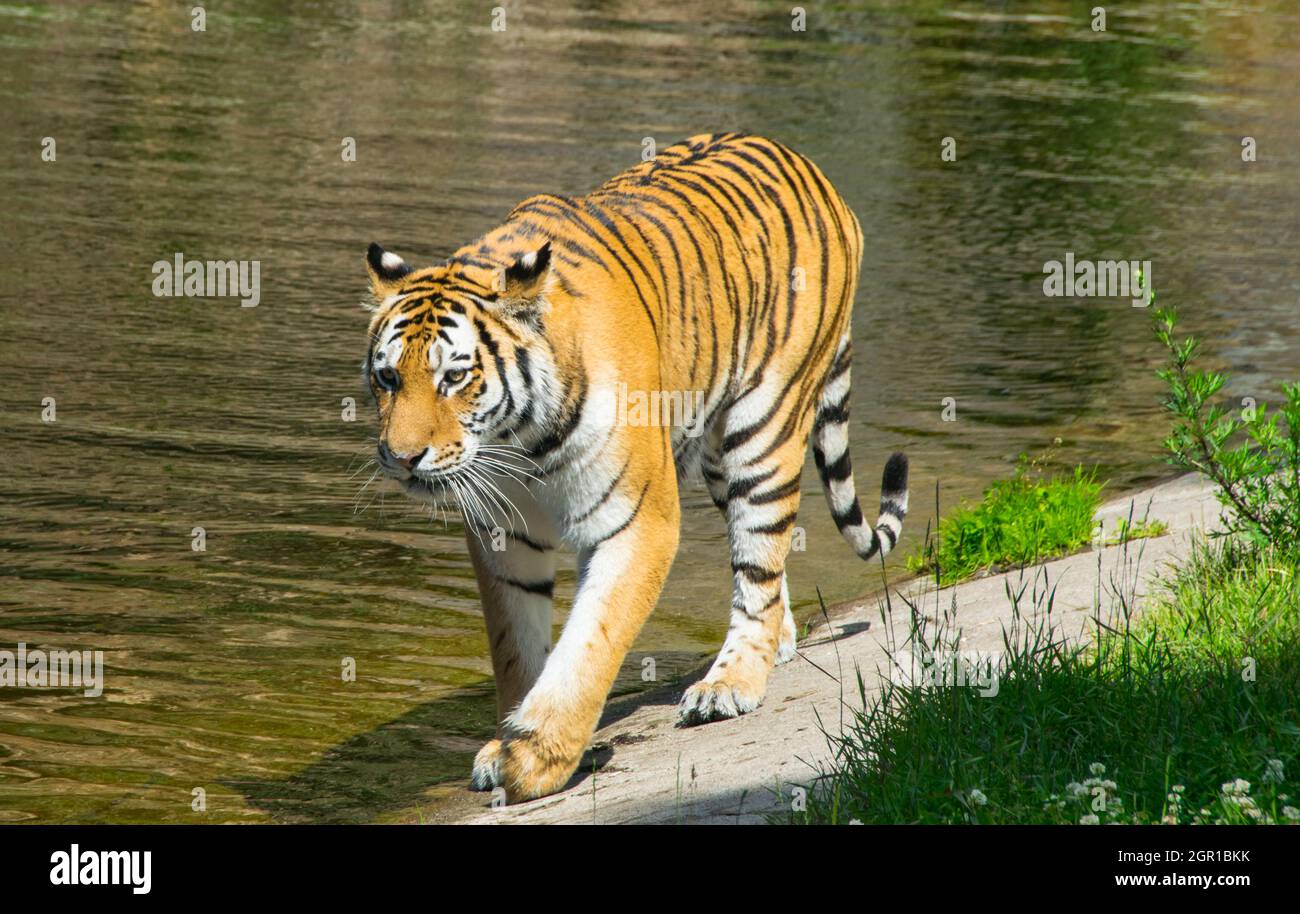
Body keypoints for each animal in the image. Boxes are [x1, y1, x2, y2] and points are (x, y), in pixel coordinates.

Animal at [360, 132, 908, 803]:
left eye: (454, 377)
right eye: (388, 378)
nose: (401, 457)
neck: (518, 441)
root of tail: (811, 168)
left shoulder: (637, 522)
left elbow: (589, 645)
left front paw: (537, 756)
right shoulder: (504, 537)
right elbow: (516, 649)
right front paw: (505, 741)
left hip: (764, 427)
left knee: (758, 563)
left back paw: (729, 685)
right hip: (717, 452)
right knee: (766, 561)